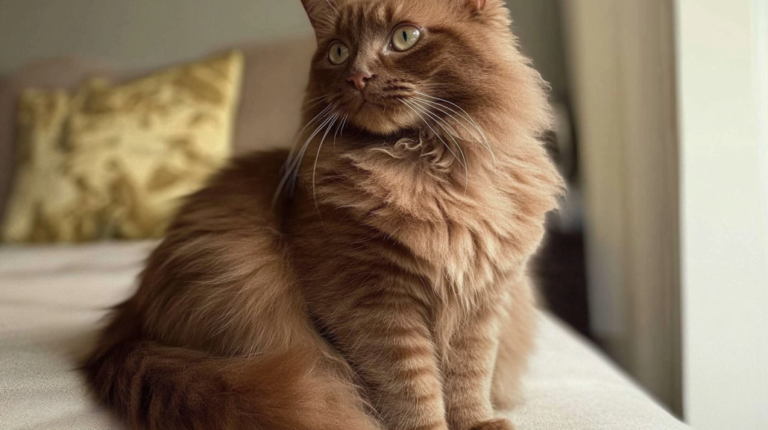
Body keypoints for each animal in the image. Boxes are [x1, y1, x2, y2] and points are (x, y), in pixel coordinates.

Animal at [82, 0, 564, 430]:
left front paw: (478, 423)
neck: (428, 167)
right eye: (338, 52)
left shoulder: (483, 300)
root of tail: (127, 325)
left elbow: (468, 378)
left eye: (404, 37)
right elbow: (413, 387)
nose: (358, 75)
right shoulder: (372, 303)